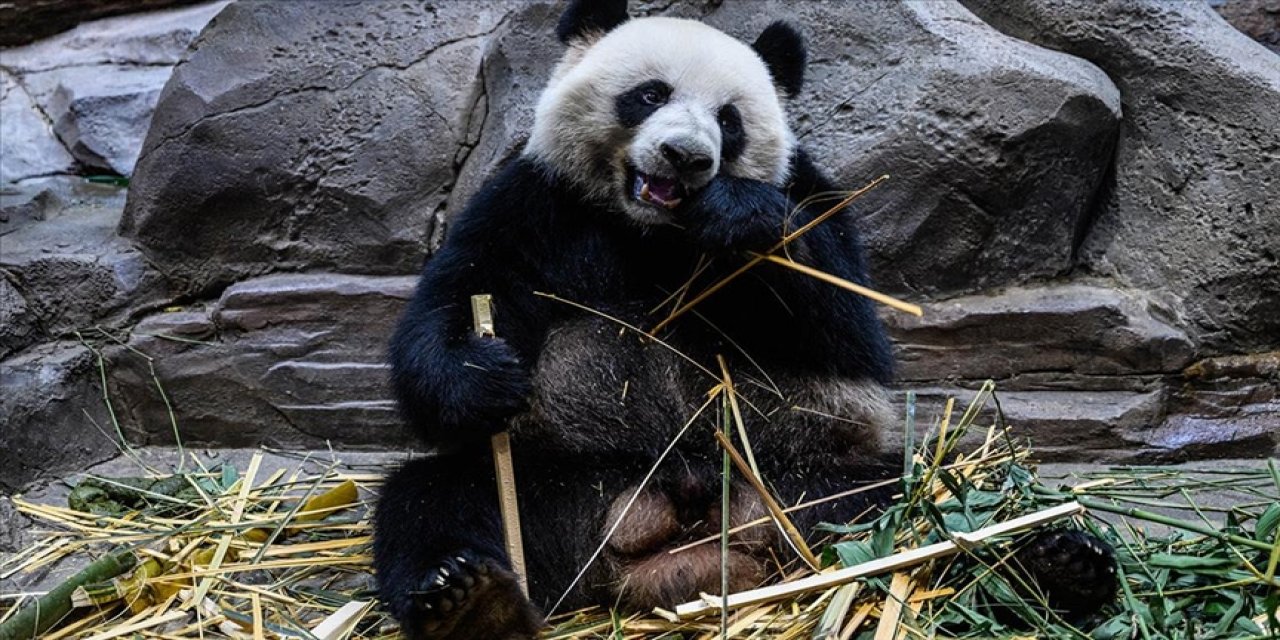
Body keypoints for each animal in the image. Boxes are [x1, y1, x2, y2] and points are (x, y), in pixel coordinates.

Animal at [374, 2, 1117, 639]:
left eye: (729, 120)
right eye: (650, 94)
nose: (686, 157)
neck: (654, 234)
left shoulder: (810, 194)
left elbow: (848, 331)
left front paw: (739, 217)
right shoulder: (537, 205)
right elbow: (456, 300)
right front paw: (481, 375)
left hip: (811, 482)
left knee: (927, 503)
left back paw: (1056, 566)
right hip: (563, 484)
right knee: (435, 502)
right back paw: (468, 600)